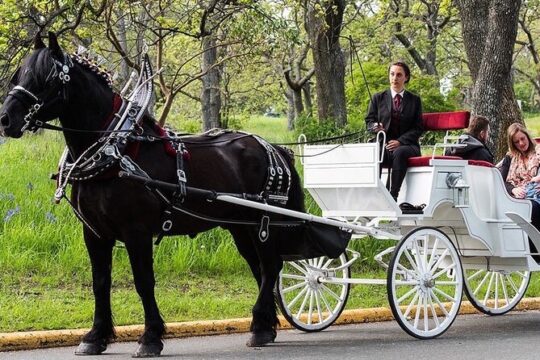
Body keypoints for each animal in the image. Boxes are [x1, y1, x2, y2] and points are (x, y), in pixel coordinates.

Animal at [0, 33, 316, 358]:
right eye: (18, 75)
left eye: (46, 77)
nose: (6, 119)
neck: (116, 152)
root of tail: (273, 148)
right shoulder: (95, 233)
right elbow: (100, 282)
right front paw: (96, 336)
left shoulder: (136, 231)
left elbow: (143, 282)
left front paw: (150, 337)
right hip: (240, 226)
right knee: (260, 268)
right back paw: (265, 326)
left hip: (265, 222)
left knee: (271, 265)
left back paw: (260, 324)